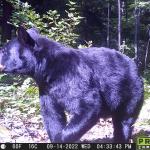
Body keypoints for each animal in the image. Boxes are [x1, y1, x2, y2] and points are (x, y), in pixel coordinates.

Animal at [0, 26, 143, 143]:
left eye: (4, 51)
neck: (47, 69)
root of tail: (134, 64)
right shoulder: (47, 90)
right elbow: (52, 115)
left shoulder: (73, 77)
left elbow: (89, 105)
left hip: (129, 92)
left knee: (124, 122)